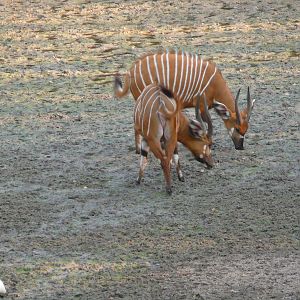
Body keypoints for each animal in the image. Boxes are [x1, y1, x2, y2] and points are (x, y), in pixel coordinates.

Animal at [113, 50, 254, 152]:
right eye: (237, 128)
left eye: (245, 129)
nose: (240, 147)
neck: (214, 83)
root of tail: (131, 71)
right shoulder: (201, 106)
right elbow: (206, 122)